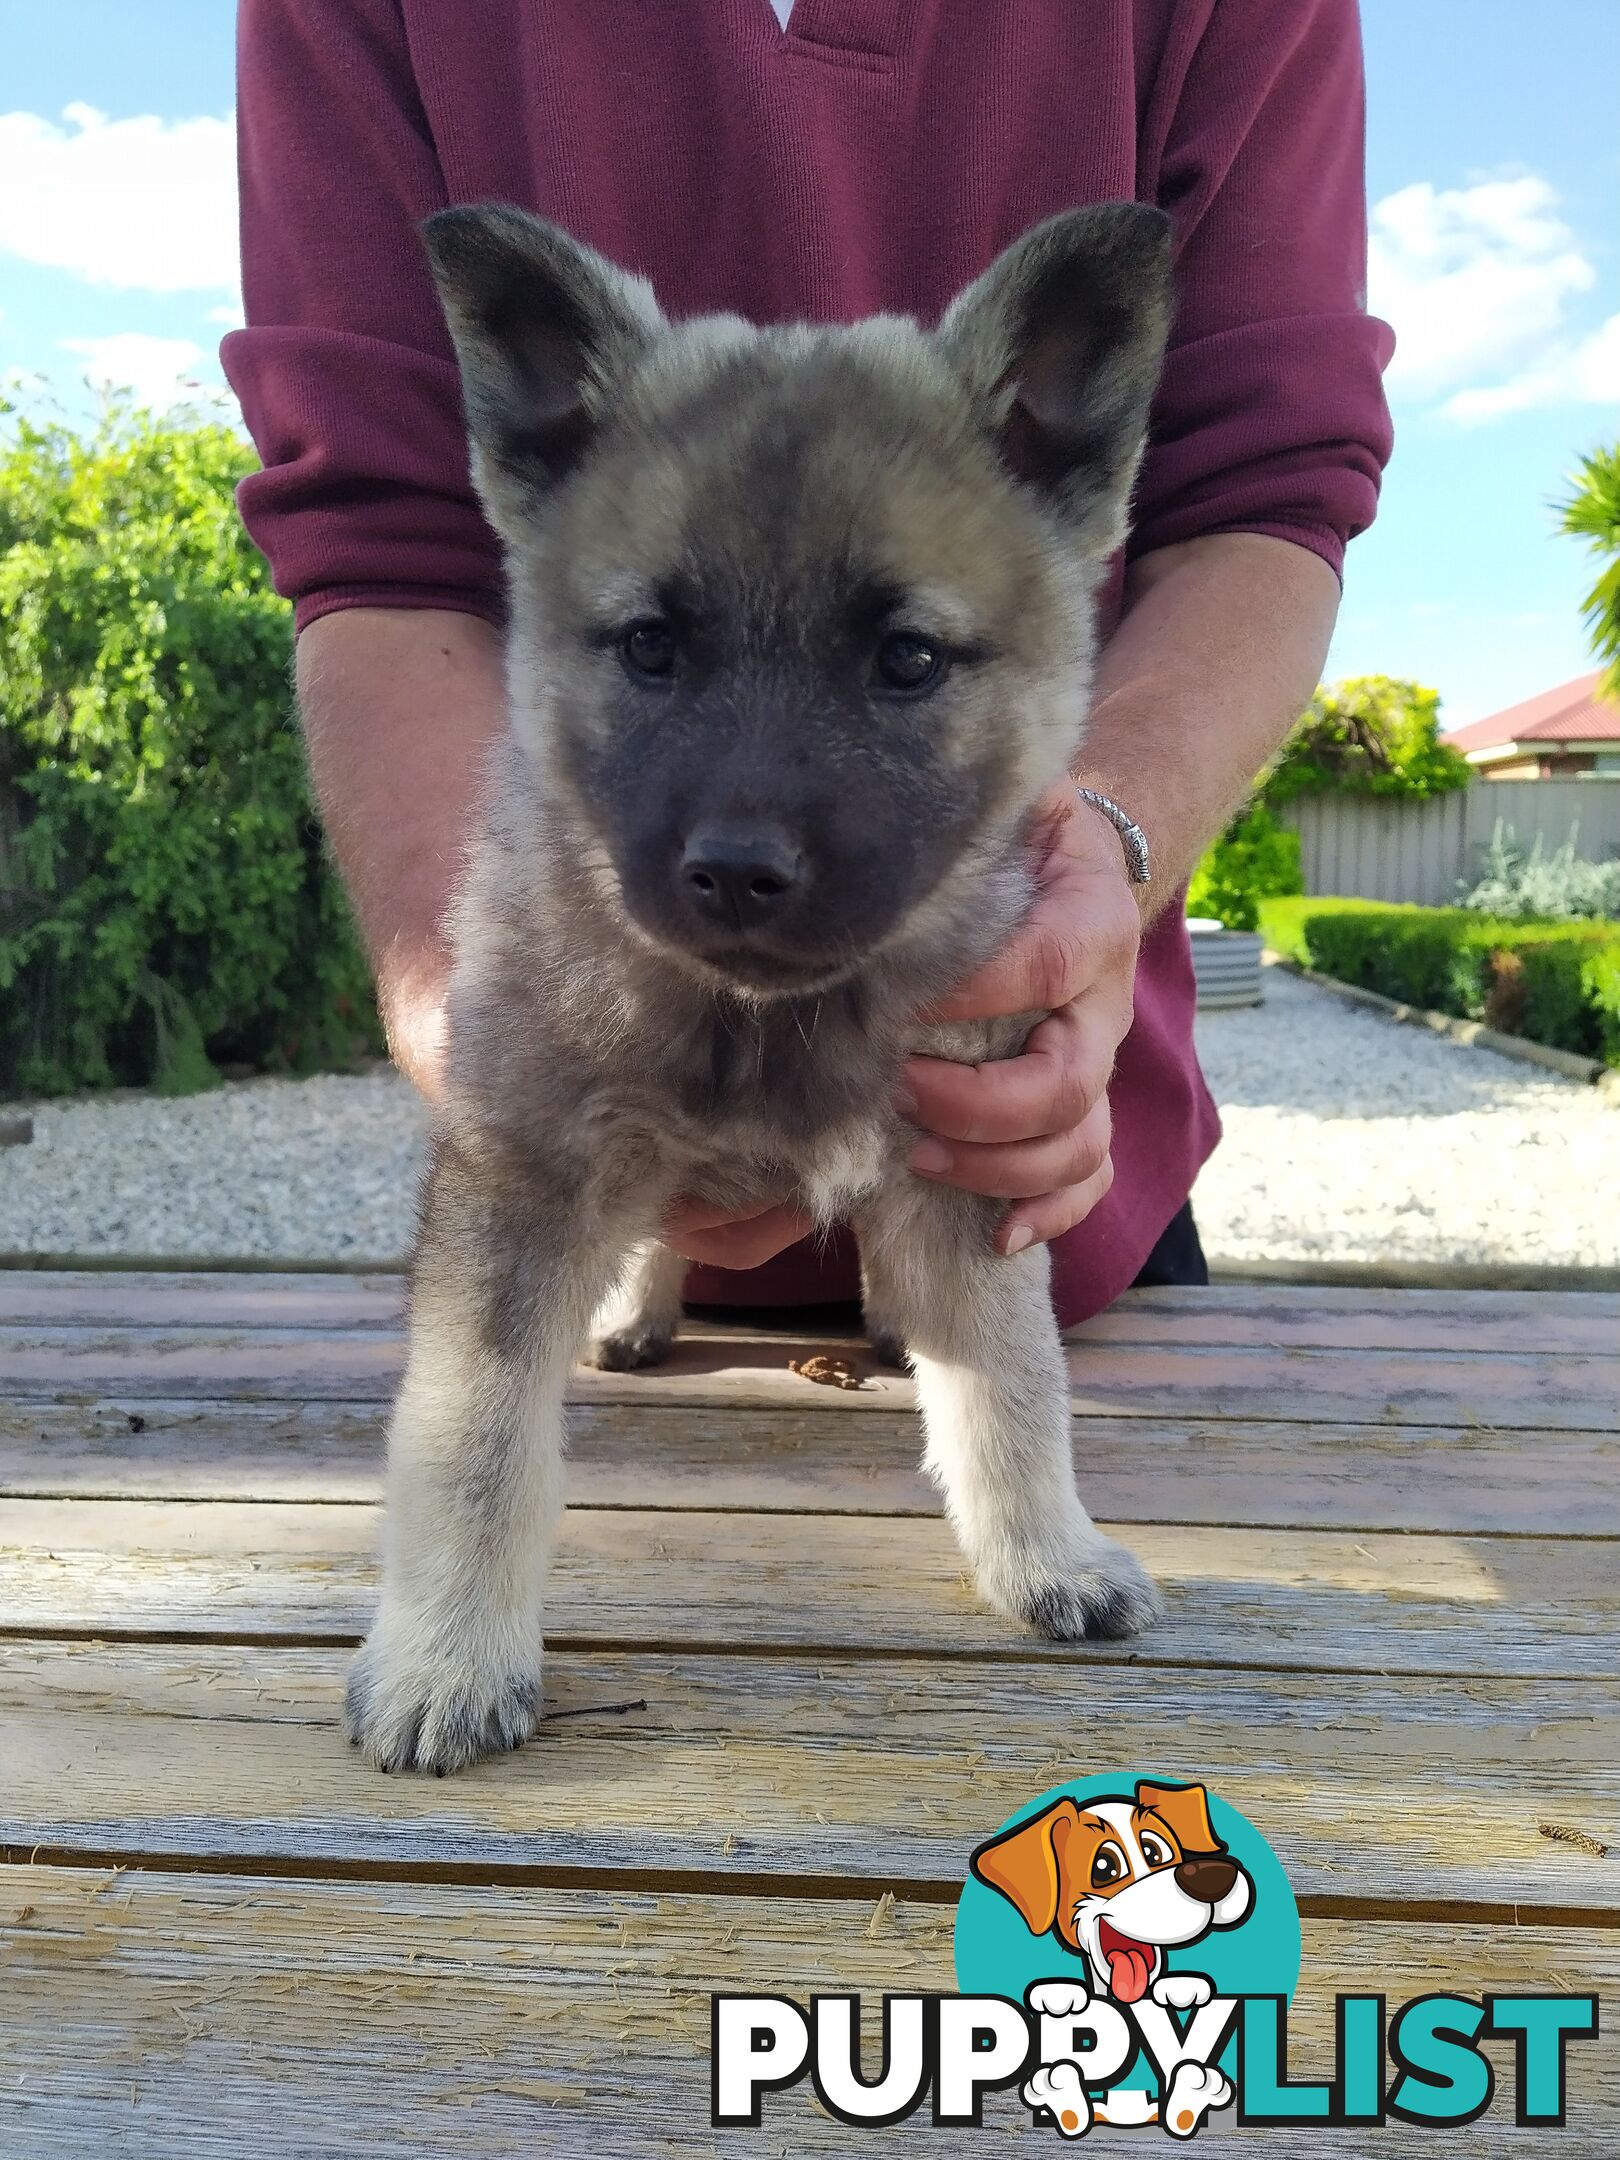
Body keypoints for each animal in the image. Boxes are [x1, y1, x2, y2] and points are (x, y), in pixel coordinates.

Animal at [349, 198, 1175, 1771]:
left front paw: (1047, 1553)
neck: (762, 1018)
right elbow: (472, 1438)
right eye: (652, 647)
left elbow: (1015, 1382)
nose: (736, 872)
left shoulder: (974, 1161)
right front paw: (445, 1652)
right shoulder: (522, 1175)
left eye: (906, 659)